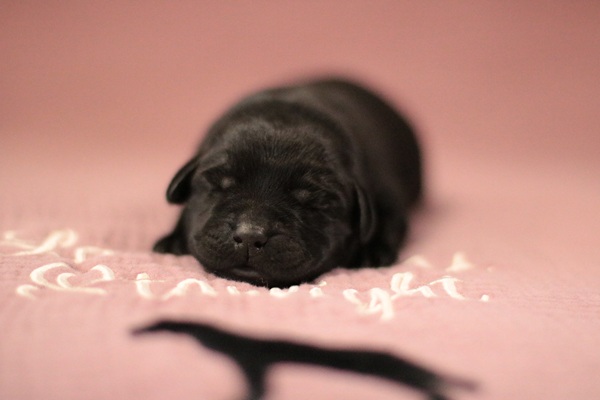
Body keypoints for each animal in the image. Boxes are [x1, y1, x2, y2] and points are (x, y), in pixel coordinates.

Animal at [154, 78, 422, 287]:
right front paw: (172, 241)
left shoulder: (386, 192)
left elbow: (390, 222)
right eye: (220, 185)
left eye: (314, 201)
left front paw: (371, 253)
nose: (250, 236)